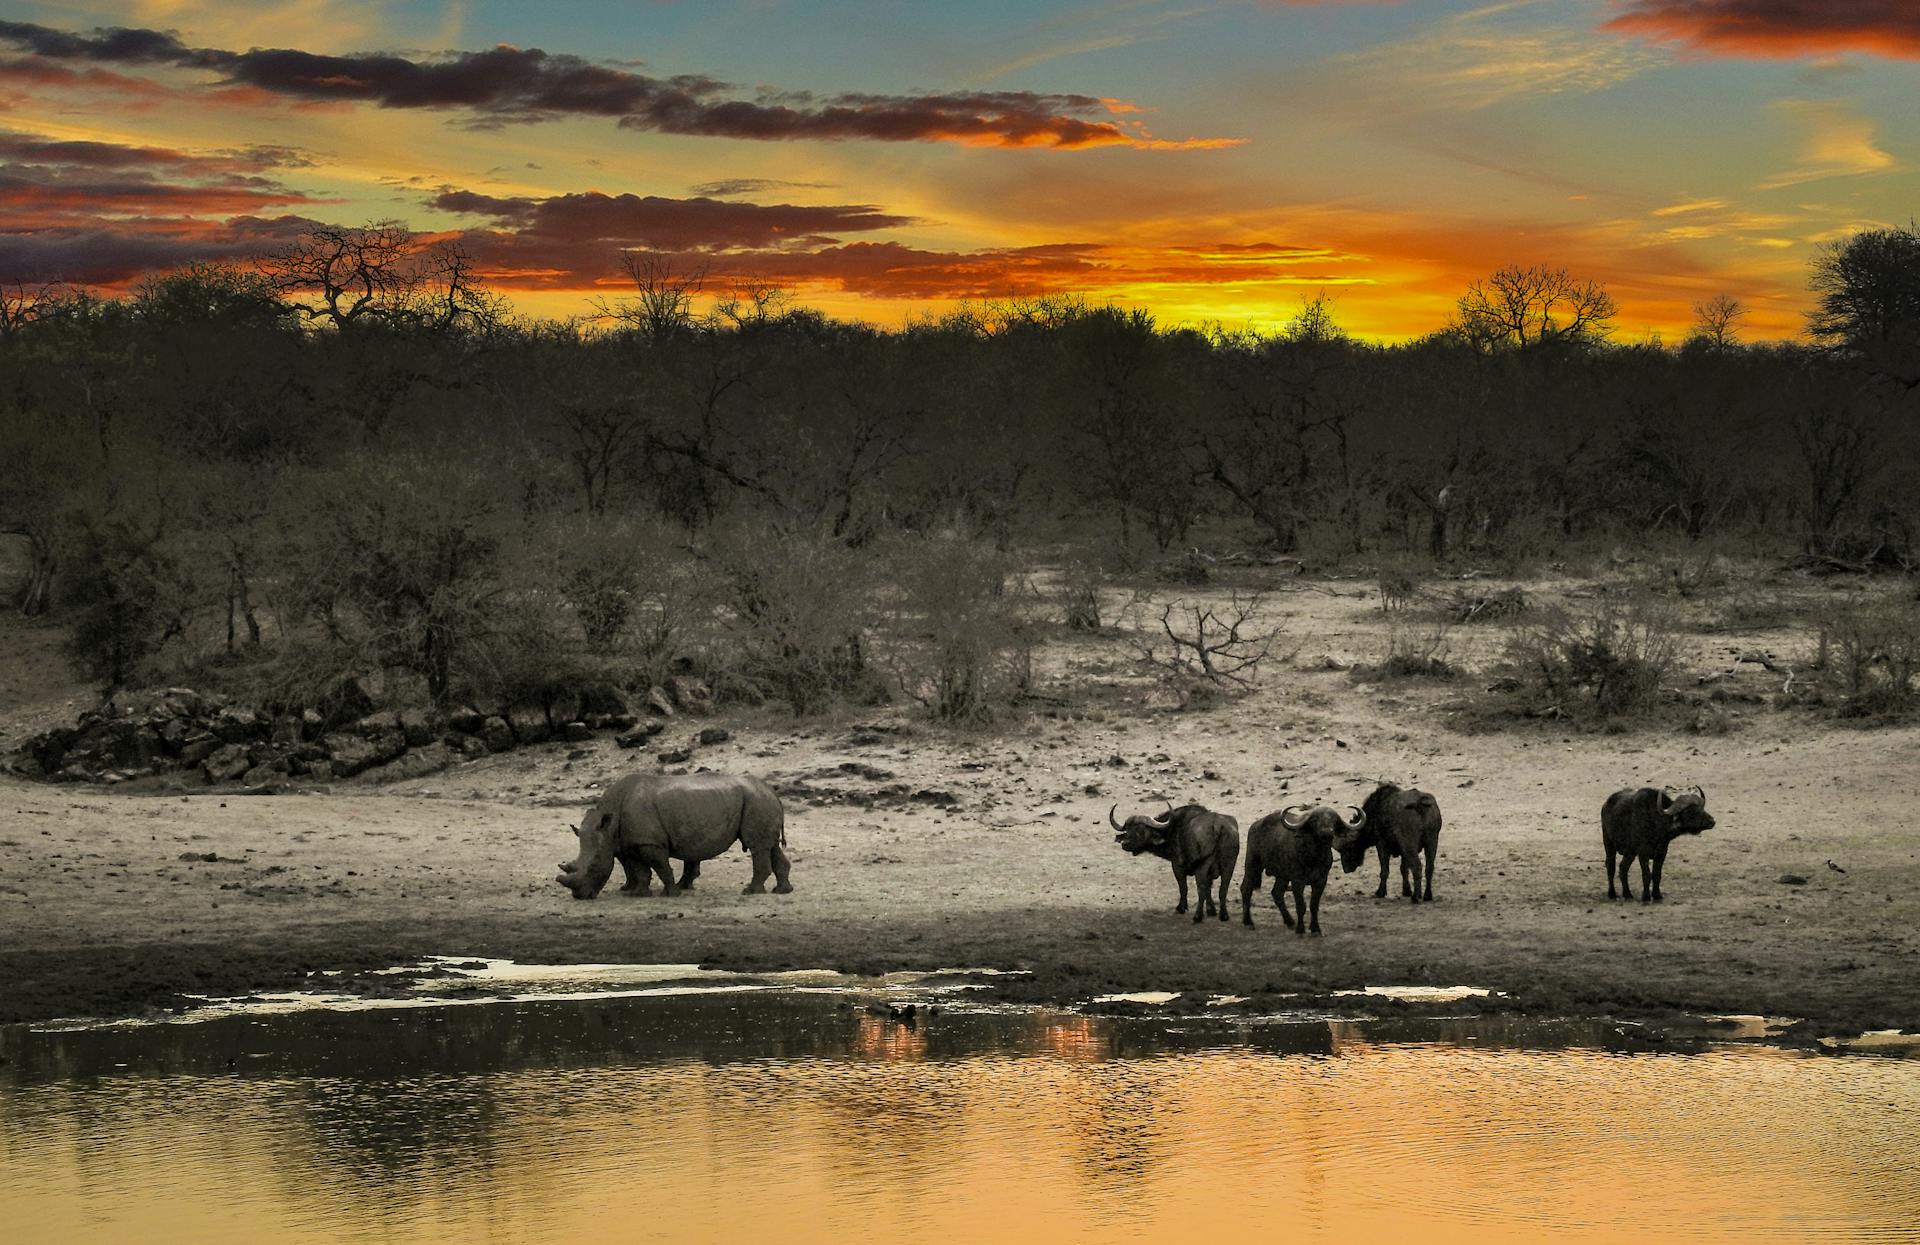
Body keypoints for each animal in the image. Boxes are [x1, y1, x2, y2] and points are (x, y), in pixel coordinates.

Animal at [1113, 803, 1244, 918]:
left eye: (1140, 831)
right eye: (1128, 830)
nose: (1125, 844)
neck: (1174, 829)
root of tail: (1217, 827)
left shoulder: (1177, 866)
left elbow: (1183, 887)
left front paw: (1181, 908)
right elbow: (1209, 889)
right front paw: (1211, 910)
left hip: (1202, 868)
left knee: (1202, 888)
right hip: (1229, 866)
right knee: (1223, 889)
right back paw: (1223, 914)